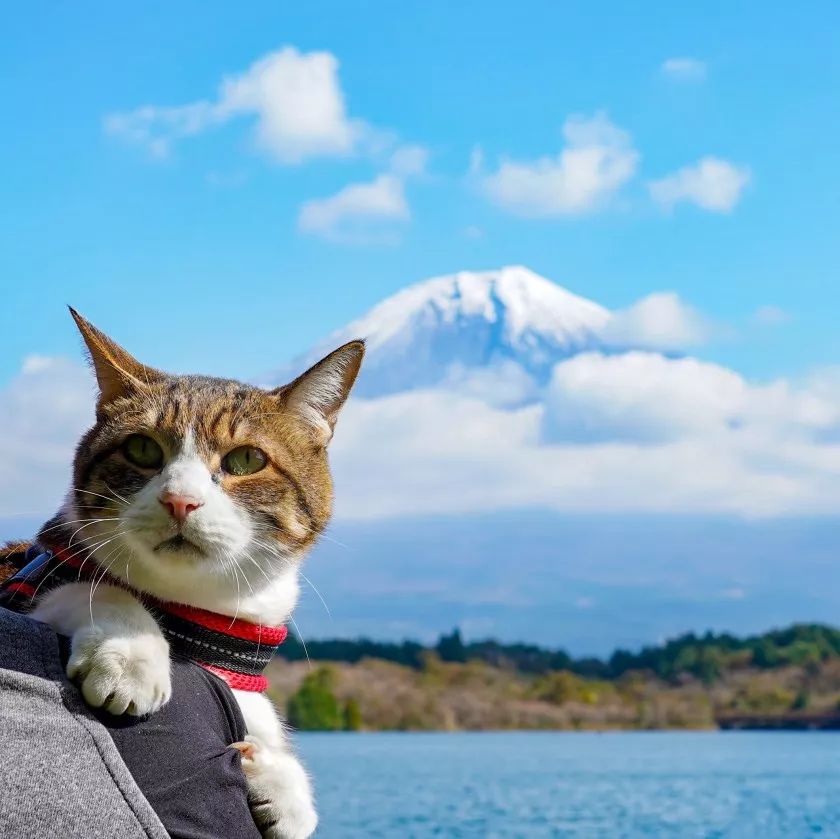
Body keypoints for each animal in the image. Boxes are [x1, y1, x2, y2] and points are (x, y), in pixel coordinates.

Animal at [14, 308, 360, 839]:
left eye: (246, 459)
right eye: (141, 449)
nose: (180, 500)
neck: (199, 612)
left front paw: (284, 782)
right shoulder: (42, 578)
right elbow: (96, 590)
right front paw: (133, 660)